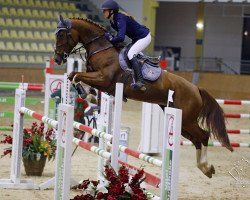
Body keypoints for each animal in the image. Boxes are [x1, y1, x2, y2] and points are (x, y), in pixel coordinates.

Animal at [54, 16, 232, 177]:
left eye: (61, 35)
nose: (57, 59)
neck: (101, 48)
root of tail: (196, 89)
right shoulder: (99, 80)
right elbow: (73, 75)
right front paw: (85, 93)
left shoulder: (103, 79)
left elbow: (77, 75)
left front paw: (84, 92)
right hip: (181, 121)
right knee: (196, 139)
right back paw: (205, 168)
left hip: (188, 119)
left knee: (204, 135)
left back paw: (206, 167)